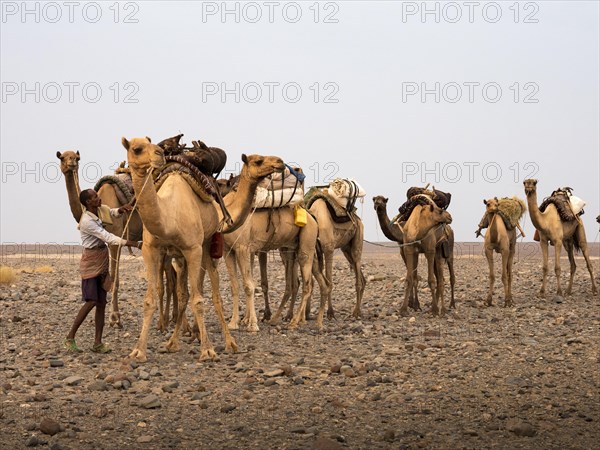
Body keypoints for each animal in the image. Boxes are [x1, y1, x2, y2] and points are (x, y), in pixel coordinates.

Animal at [122, 135, 286, 360]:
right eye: (137, 149)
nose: (279, 161)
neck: (168, 216)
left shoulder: (195, 249)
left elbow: (199, 300)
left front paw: (207, 349)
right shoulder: (151, 250)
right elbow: (151, 300)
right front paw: (138, 350)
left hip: (206, 247)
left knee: (213, 295)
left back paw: (228, 342)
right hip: (184, 256)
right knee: (184, 294)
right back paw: (176, 340)